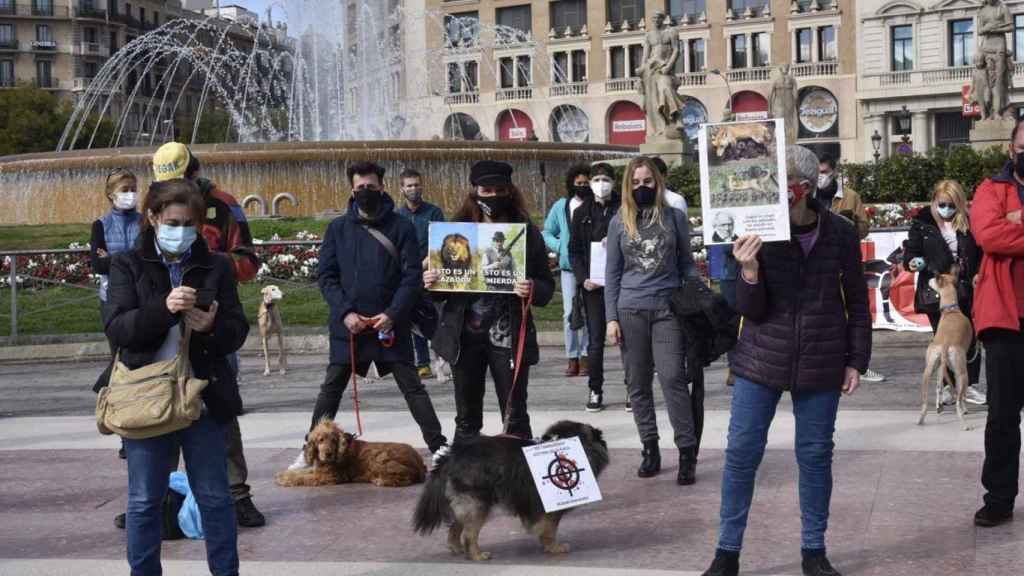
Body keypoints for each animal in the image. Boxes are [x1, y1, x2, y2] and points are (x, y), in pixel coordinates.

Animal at [274, 416, 425, 483]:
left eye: (334, 440)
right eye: (320, 440)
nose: (328, 454)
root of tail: (420, 464)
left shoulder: (328, 476)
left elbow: (302, 477)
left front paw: (285, 478)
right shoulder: (319, 469)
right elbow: (303, 472)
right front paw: (284, 474)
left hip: (380, 457)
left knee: (406, 475)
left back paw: (380, 480)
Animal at [413, 420, 606, 557]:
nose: (602, 439)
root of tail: (451, 455)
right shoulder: (548, 506)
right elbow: (550, 528)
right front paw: (554, 547)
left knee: (456, 525)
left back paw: (457, 548)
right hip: (478, 503)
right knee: (469, 533)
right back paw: (477, 555)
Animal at [921, 270, 974, 428]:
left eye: (933, 279)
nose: (927, 280)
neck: (951, 310)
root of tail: (945, 344)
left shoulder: (940, 367)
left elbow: (939, 385)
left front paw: (939, 406)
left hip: (929, 369)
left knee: (928, 397)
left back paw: (923, 418)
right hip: (962, 372)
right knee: (959, 400)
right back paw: (964, 420)